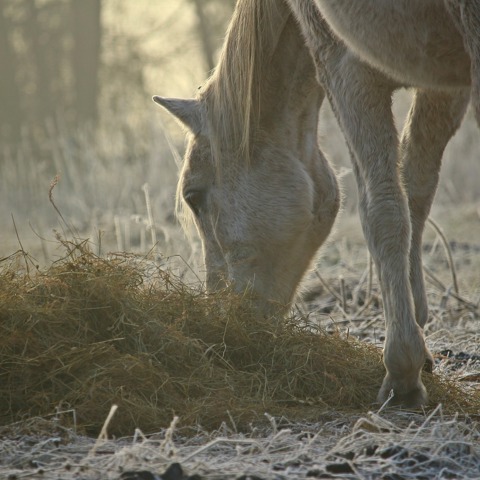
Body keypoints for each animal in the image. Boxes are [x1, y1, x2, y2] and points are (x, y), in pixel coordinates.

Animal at [154, 0, 476, 408]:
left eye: (192, 196)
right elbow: (415, 189)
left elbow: (382, 208)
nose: (221, 319)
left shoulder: (343, 65)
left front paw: (402, 370)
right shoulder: (441, 83)